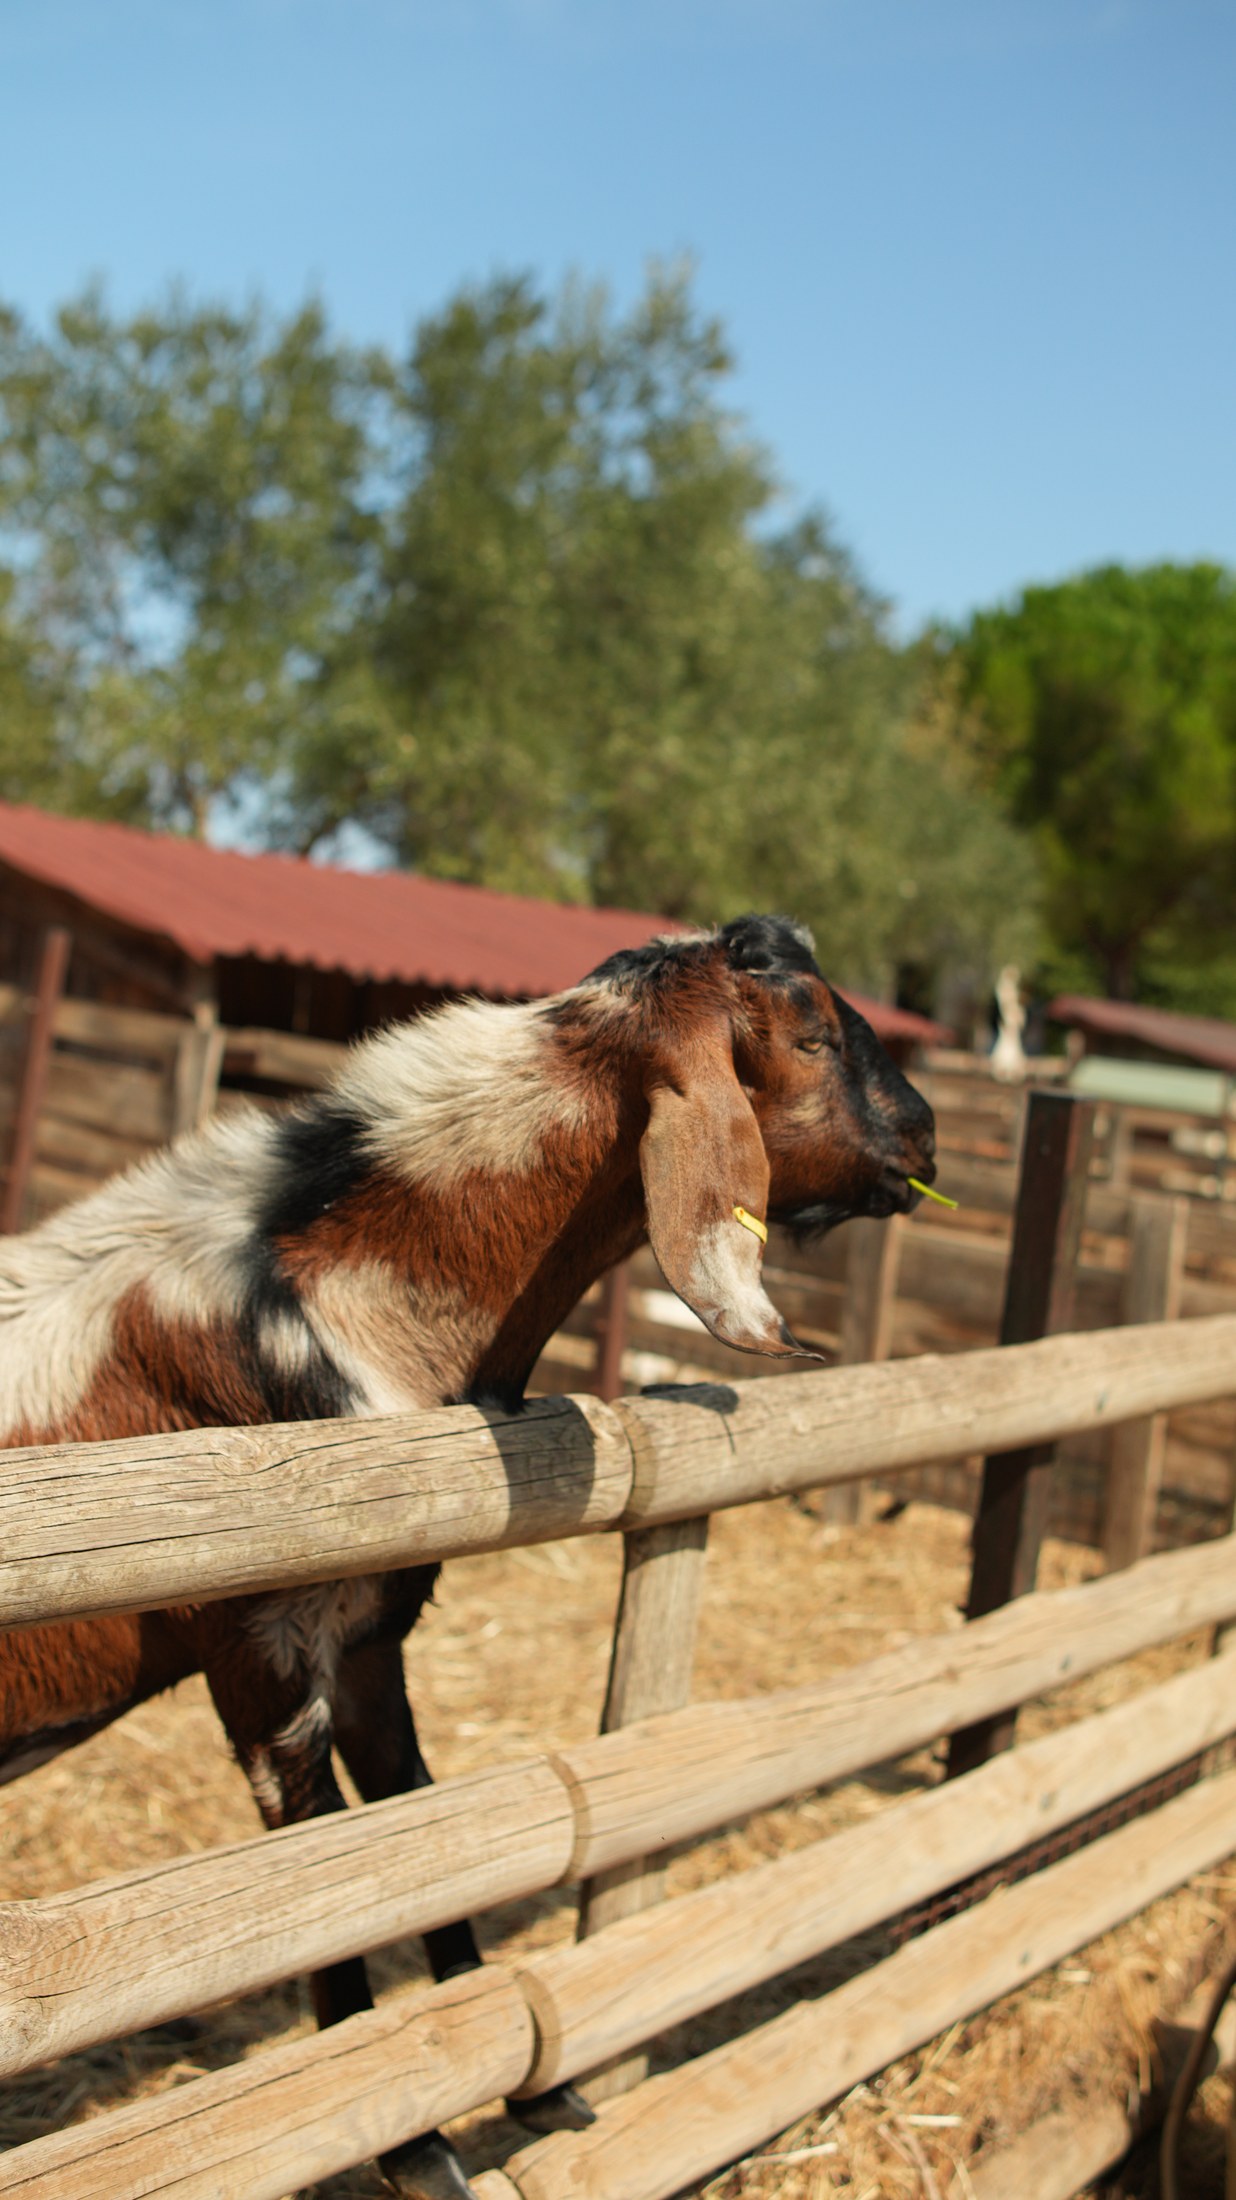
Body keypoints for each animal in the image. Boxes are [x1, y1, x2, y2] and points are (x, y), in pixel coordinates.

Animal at [0, 914, 936, 2199]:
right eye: (808, 1034)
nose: (926, 1131)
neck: (325, 1296)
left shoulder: (369, 1640)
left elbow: (429, 1830)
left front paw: (538, 2089)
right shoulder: (263, 1657)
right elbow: (323, 1881)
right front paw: (414, 2148)